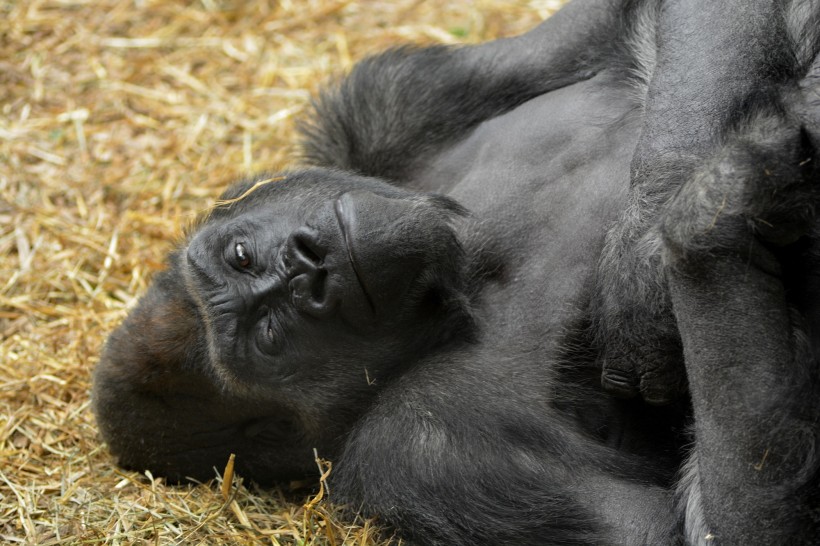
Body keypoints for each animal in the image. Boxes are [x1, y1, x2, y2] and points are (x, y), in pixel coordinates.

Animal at [91, 0, 820, 540]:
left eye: (242, 256)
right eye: (272, 335)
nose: (307, 267)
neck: (467, 269)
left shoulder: (382, 104)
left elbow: (638, 18)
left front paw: (648, 236)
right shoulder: (420, 447)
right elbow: (681, 532)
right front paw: (715, 205)